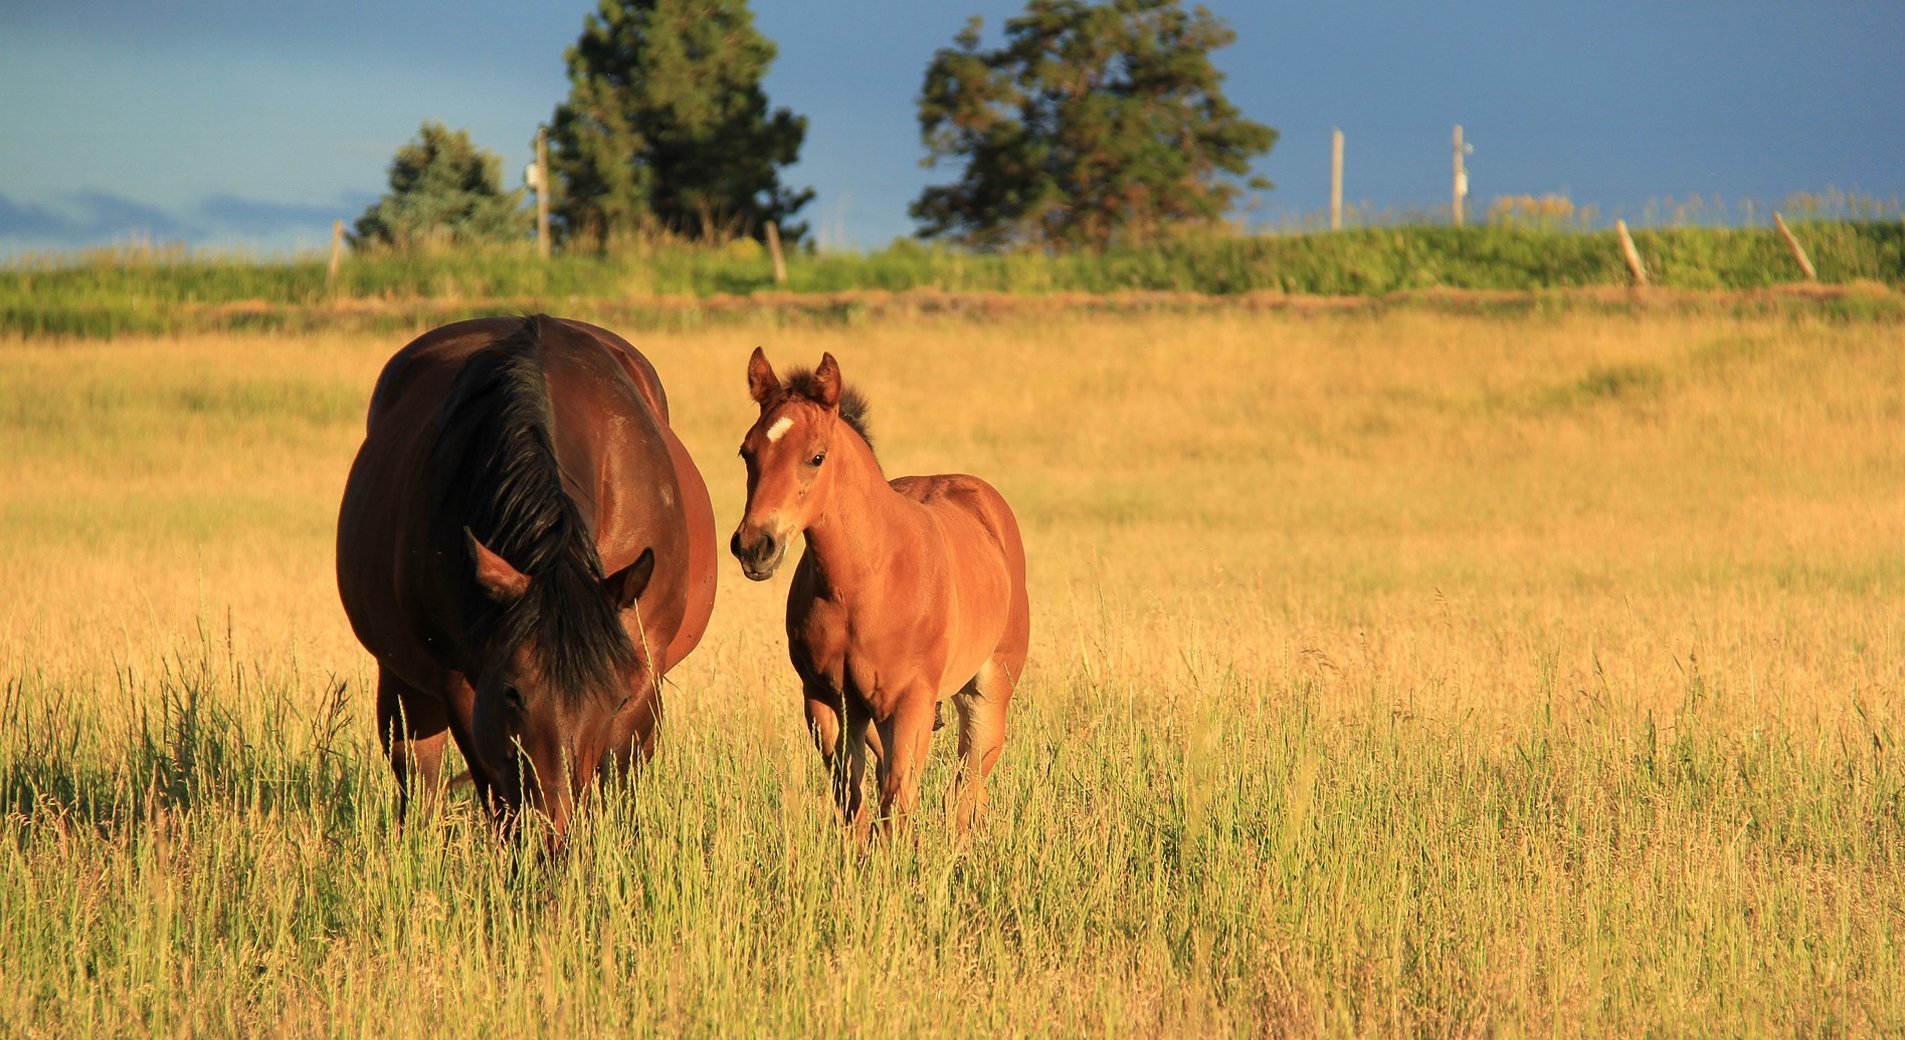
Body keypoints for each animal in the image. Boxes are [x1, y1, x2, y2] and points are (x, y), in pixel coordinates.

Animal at [336, 315, 717, 842]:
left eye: (614, 697)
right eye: (514, 693)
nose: (556, 833)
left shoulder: (642, 670)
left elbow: (616, 788)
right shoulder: (465, 684)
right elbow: (497, 793)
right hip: (400, 678)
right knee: (418, 776)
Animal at [729, 349, 1029, 833]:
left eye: (816, 457)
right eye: (746, 452)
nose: (755, 546)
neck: (864, 582)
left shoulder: (910, 702)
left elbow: (897, 799)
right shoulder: (826, 699)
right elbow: (852, 799)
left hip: (987, 693)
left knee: (965, 787)